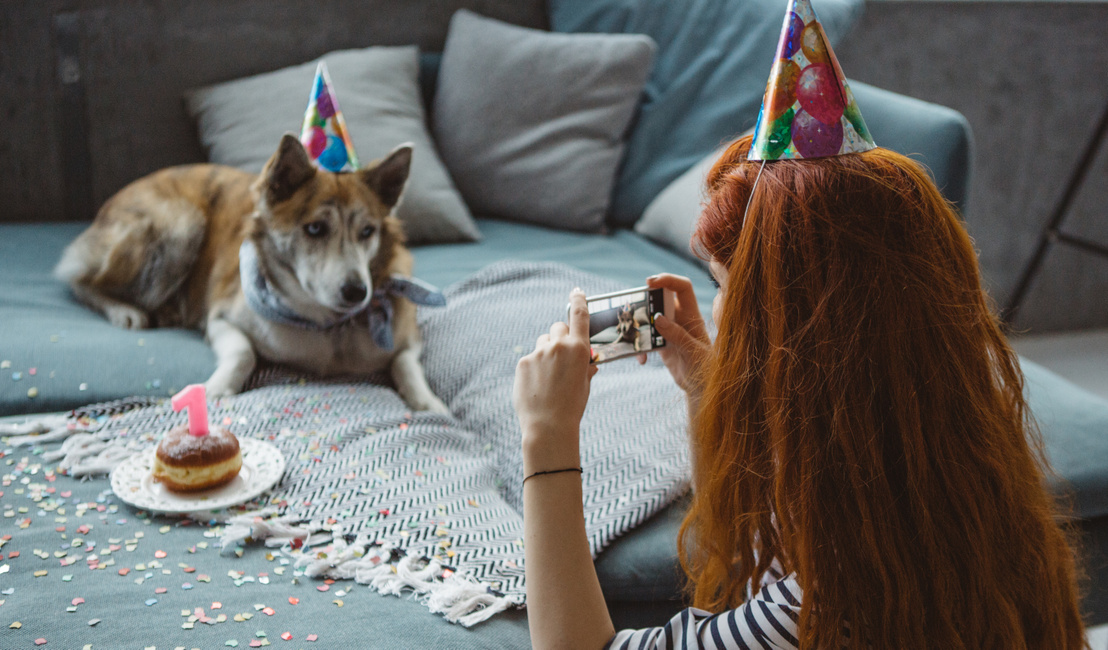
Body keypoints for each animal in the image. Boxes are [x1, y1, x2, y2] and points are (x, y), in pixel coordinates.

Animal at [57, 134, 449, 414]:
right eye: (315, 228)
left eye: (367, 231)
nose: (356, 292)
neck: (327, 327)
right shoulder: (220, 318)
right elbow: (244, 353)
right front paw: (217, 389)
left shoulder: (408, 336)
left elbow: (406, 364)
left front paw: (429, 403)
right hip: (179, 223)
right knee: (80, 279)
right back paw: (125, 310)